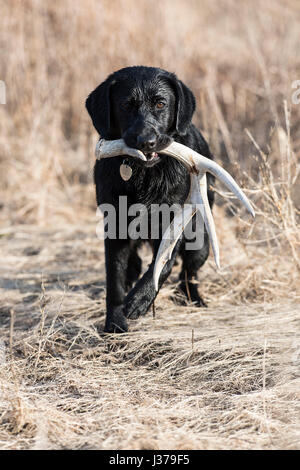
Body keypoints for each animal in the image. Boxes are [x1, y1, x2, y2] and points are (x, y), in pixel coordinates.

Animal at [85, 66, 214, 332]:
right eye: (126, 105)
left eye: (160, 104)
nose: (146, 141)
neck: (143, 174)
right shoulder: (114, 227)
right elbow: (114, 279)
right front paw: (114, 322)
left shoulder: (175, 223)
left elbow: (163, 264)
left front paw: (139, 300)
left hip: (201, 241)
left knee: (188, 273)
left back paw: (193, 297)